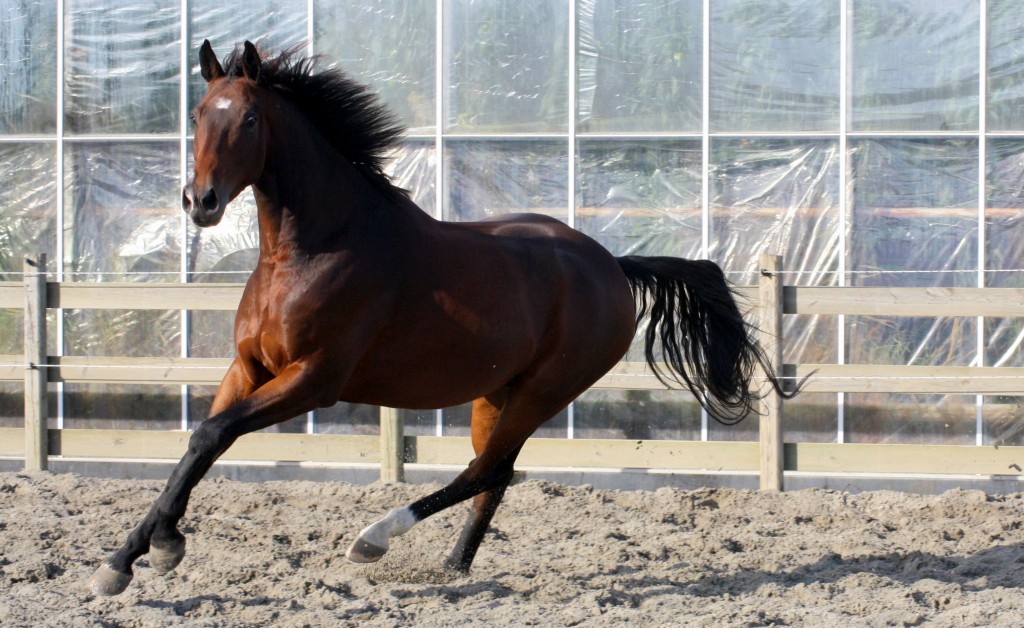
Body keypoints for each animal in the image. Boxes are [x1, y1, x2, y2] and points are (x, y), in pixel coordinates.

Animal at [88, 40, 796, 596]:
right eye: (198, 113)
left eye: (252, 116)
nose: (200, 202)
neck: (316, 246)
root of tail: (611, 266)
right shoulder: (249, 368)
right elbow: (197, 444)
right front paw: (133, 556)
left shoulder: (314, 379)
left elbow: (214, 436)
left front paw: (150, 552)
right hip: (498, 391)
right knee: (497, 472)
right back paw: (454, 566)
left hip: (544, 390)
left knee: (486, 470)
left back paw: (376, 539)